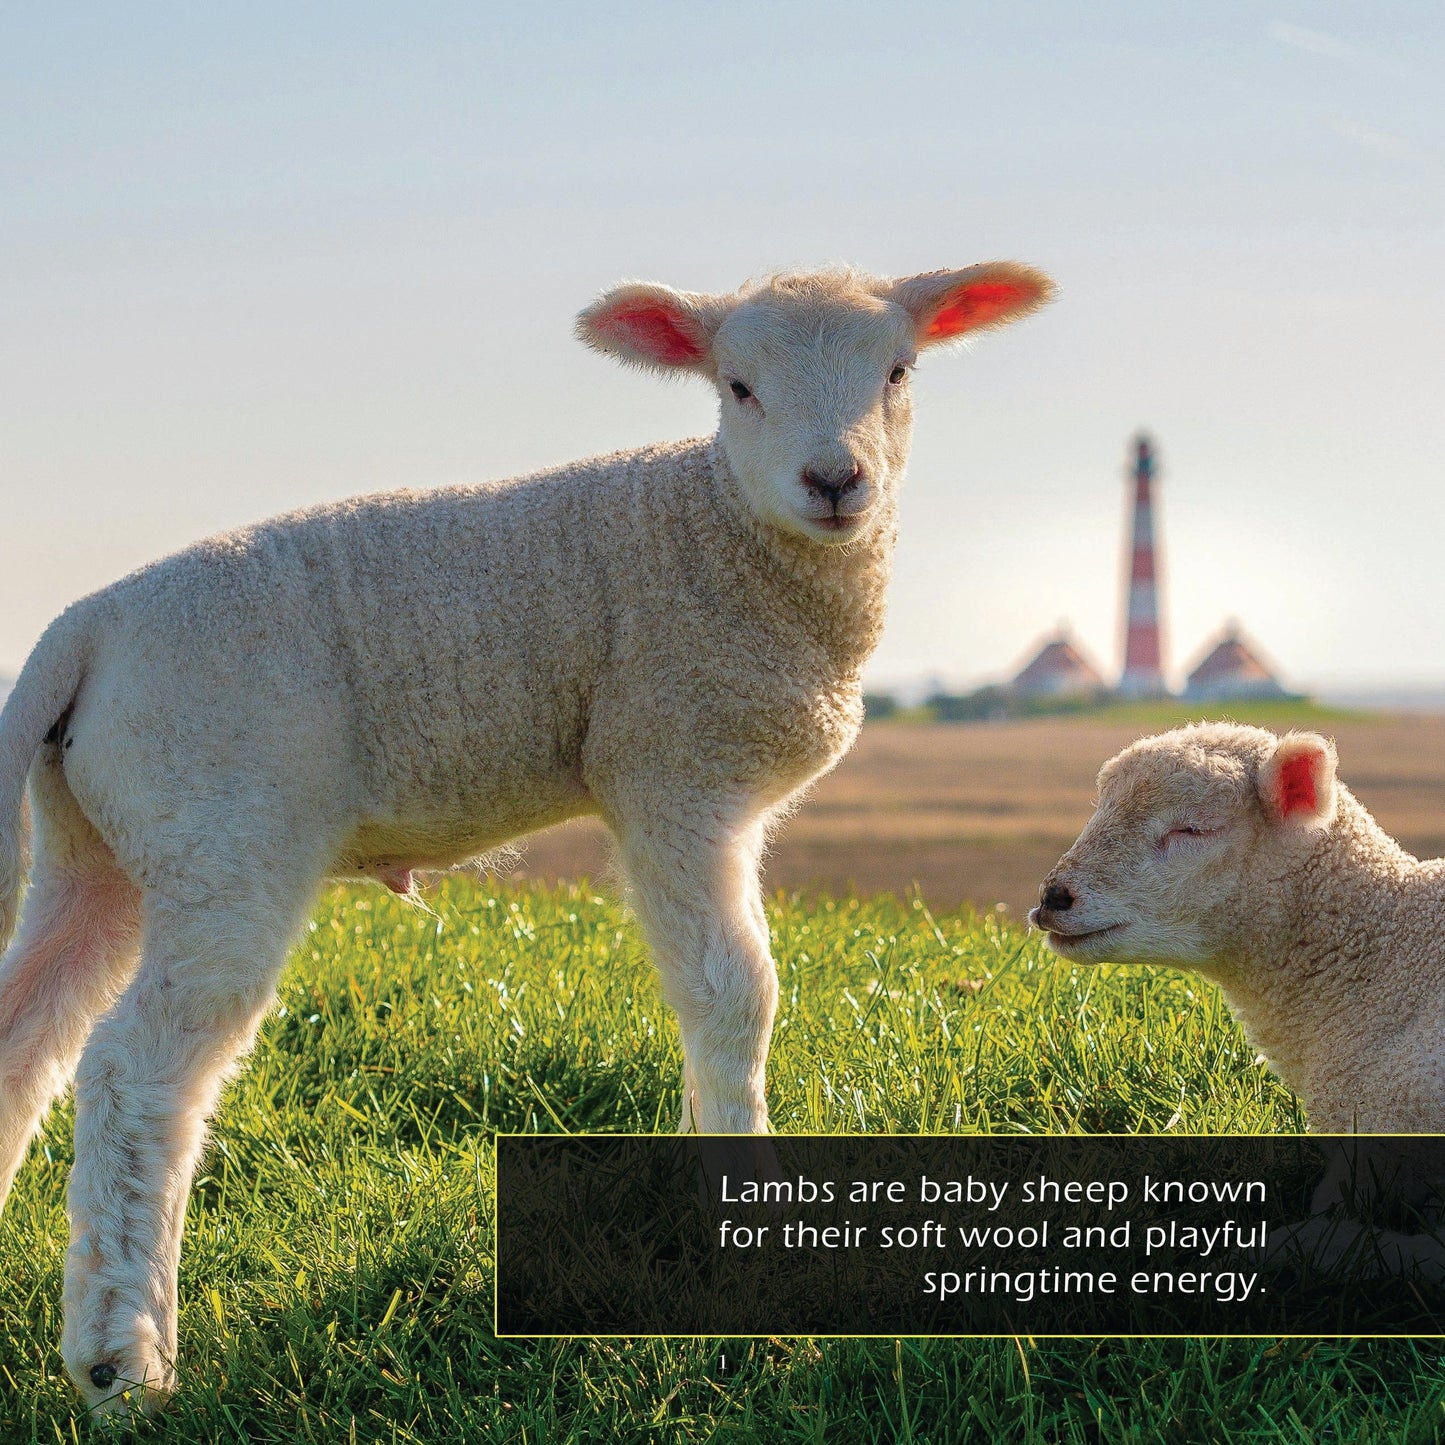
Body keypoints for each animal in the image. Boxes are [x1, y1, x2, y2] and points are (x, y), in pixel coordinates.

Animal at [0, 260, 1054, 1412]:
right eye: (736, 386)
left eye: (899, 370)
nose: (833, 480)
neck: (715, 524)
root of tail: (85, 627)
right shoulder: (670, 765)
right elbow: (735, 992)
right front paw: (748, 1232)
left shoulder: (686, 787)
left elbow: (699, 998)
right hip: (223, 826)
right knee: (134, 1069)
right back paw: (122, 1361)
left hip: (99, 840)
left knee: (28, 1032)